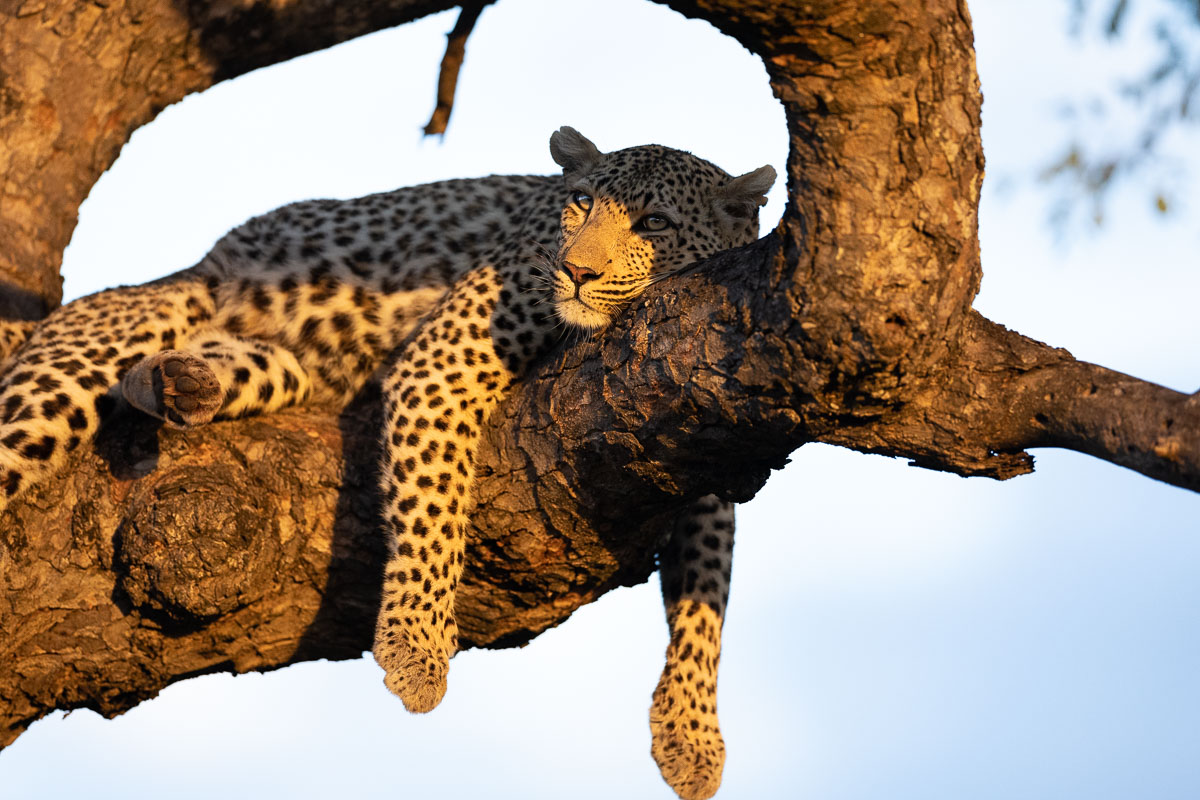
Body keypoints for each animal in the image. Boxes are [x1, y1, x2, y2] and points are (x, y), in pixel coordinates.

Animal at [0, 128, 772, 796]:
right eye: (580, 204)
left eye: (653, 223)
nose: (575, 270)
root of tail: (199, 267)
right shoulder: (445, 360)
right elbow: (434, 504)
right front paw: (416, 650)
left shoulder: (704, 420)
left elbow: (709, 588)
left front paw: (691, 733)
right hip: (85, 360)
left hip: (272, 368)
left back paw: (177, 382)